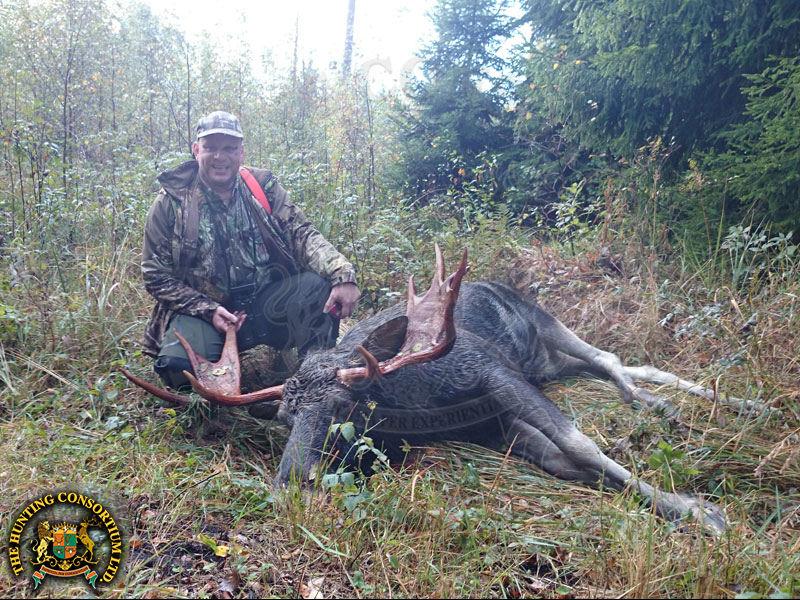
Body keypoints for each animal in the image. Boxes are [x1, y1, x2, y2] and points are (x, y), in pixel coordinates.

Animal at [121, 245, 733, 534]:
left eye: (343, 406)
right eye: (284, 420)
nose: (291, 482)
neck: (413, 398)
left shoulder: (490, 371)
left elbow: (578, 442)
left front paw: (697, 510)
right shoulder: (492, 426)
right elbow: (564, 460)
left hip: (546, 326)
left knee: (608, 357)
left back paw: (668, 404)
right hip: (549, 361)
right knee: (624, 363)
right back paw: (683, 399)